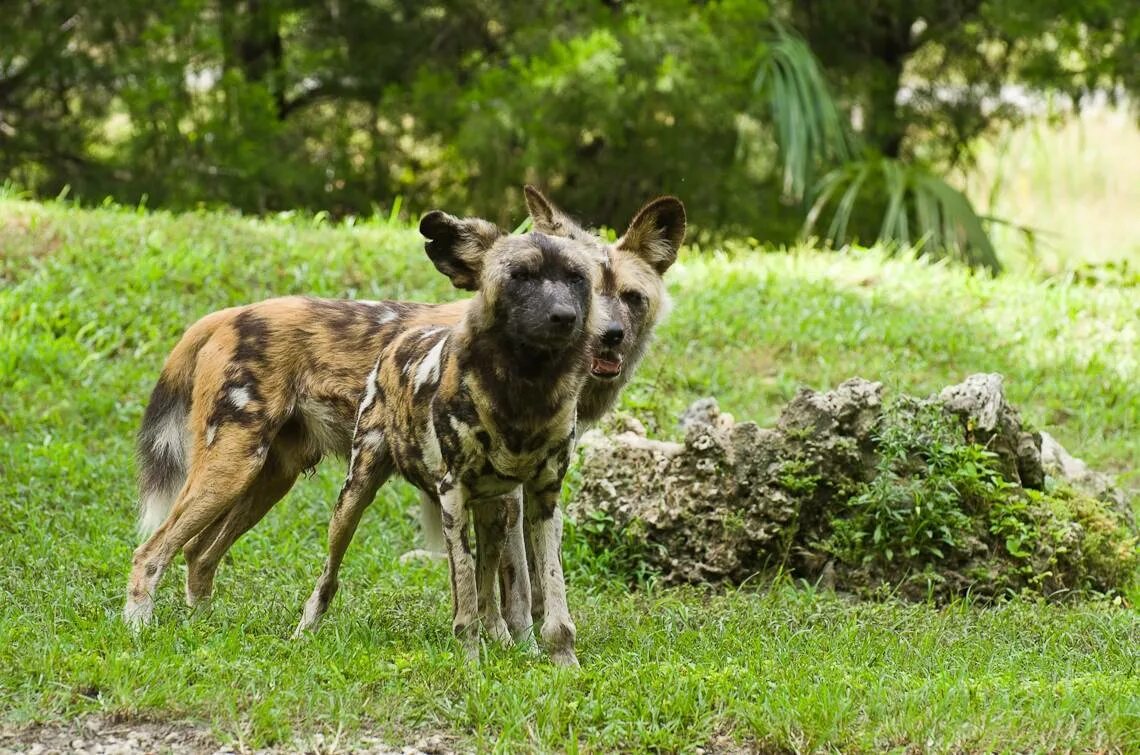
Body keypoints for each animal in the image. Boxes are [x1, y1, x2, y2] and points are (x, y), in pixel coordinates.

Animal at [294, 210, 606, 661]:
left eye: (576, 278)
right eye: (520, 276)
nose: (564, 316)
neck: (524, 390)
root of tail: (402, 337)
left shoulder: (544, 498)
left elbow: (552, 603)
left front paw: (565, 664)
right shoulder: (452, 492)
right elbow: (465, 594)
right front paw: (471, 665)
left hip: (499, 513)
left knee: (487, 589)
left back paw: (504, 639)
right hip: (355, 496)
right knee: (330, 574)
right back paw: (306, 629)